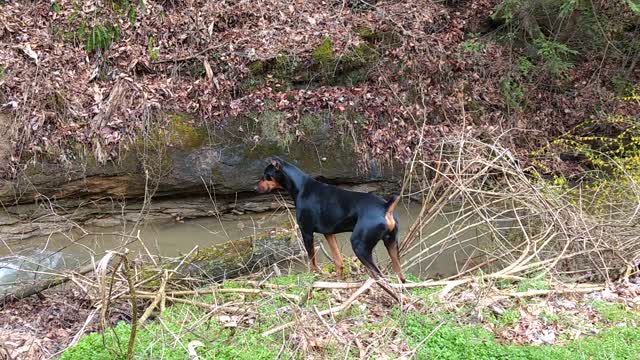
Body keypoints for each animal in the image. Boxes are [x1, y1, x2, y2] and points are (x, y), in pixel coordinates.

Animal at [255, 158, 404, 284]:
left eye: (266, 175)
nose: (256, 188)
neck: (301, 186)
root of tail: (386, 207)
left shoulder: (306, 232)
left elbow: (312, 261)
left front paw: (312, 277)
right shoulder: (329, 233)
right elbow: (338, 261)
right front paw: (337, 281)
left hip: (360, 245)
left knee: (379, 275)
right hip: (391, 243)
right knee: (400, 276)